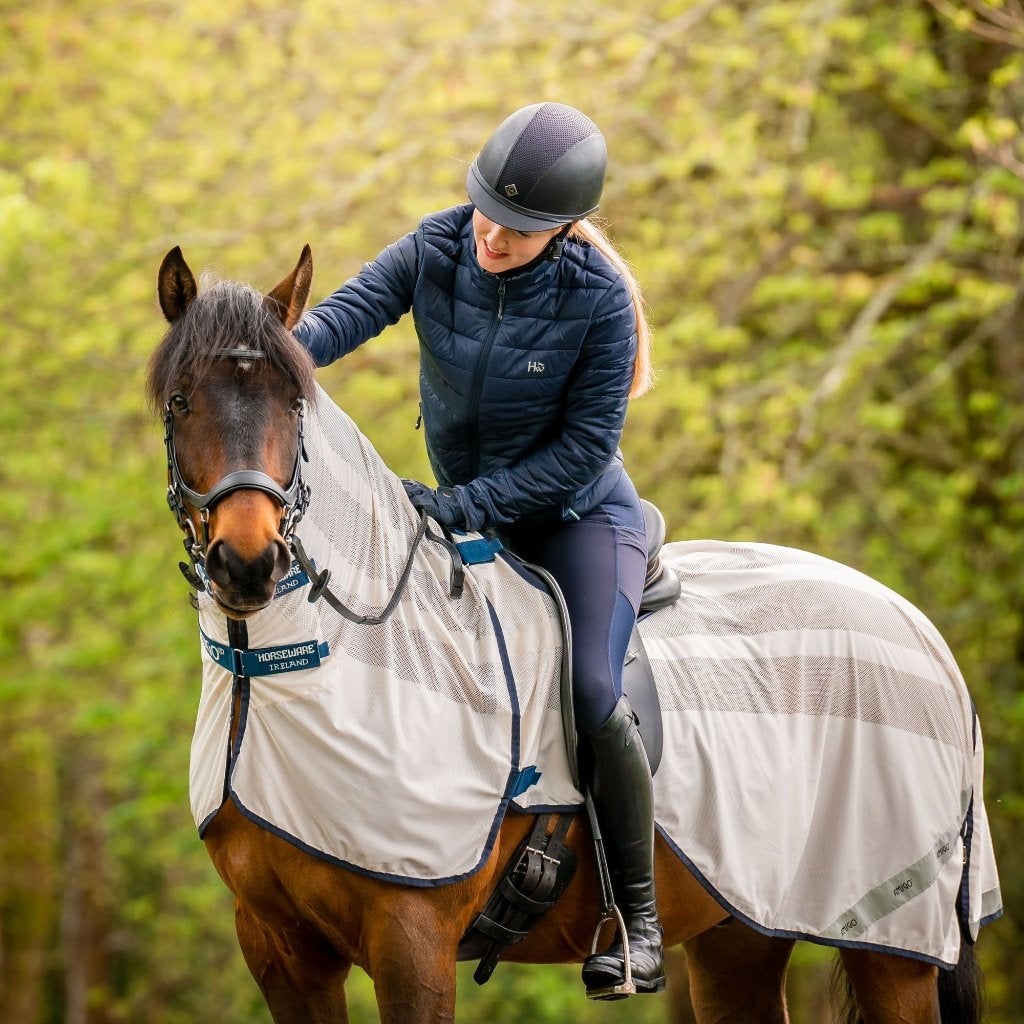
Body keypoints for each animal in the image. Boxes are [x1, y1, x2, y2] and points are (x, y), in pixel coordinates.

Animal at [148, 245, 1001, 1024]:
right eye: (180, 400)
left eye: (295, 406)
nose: (248, 564)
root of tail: (922, 634)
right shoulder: (280, 948)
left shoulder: (412, 936)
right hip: (742, 929)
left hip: (893, 947)